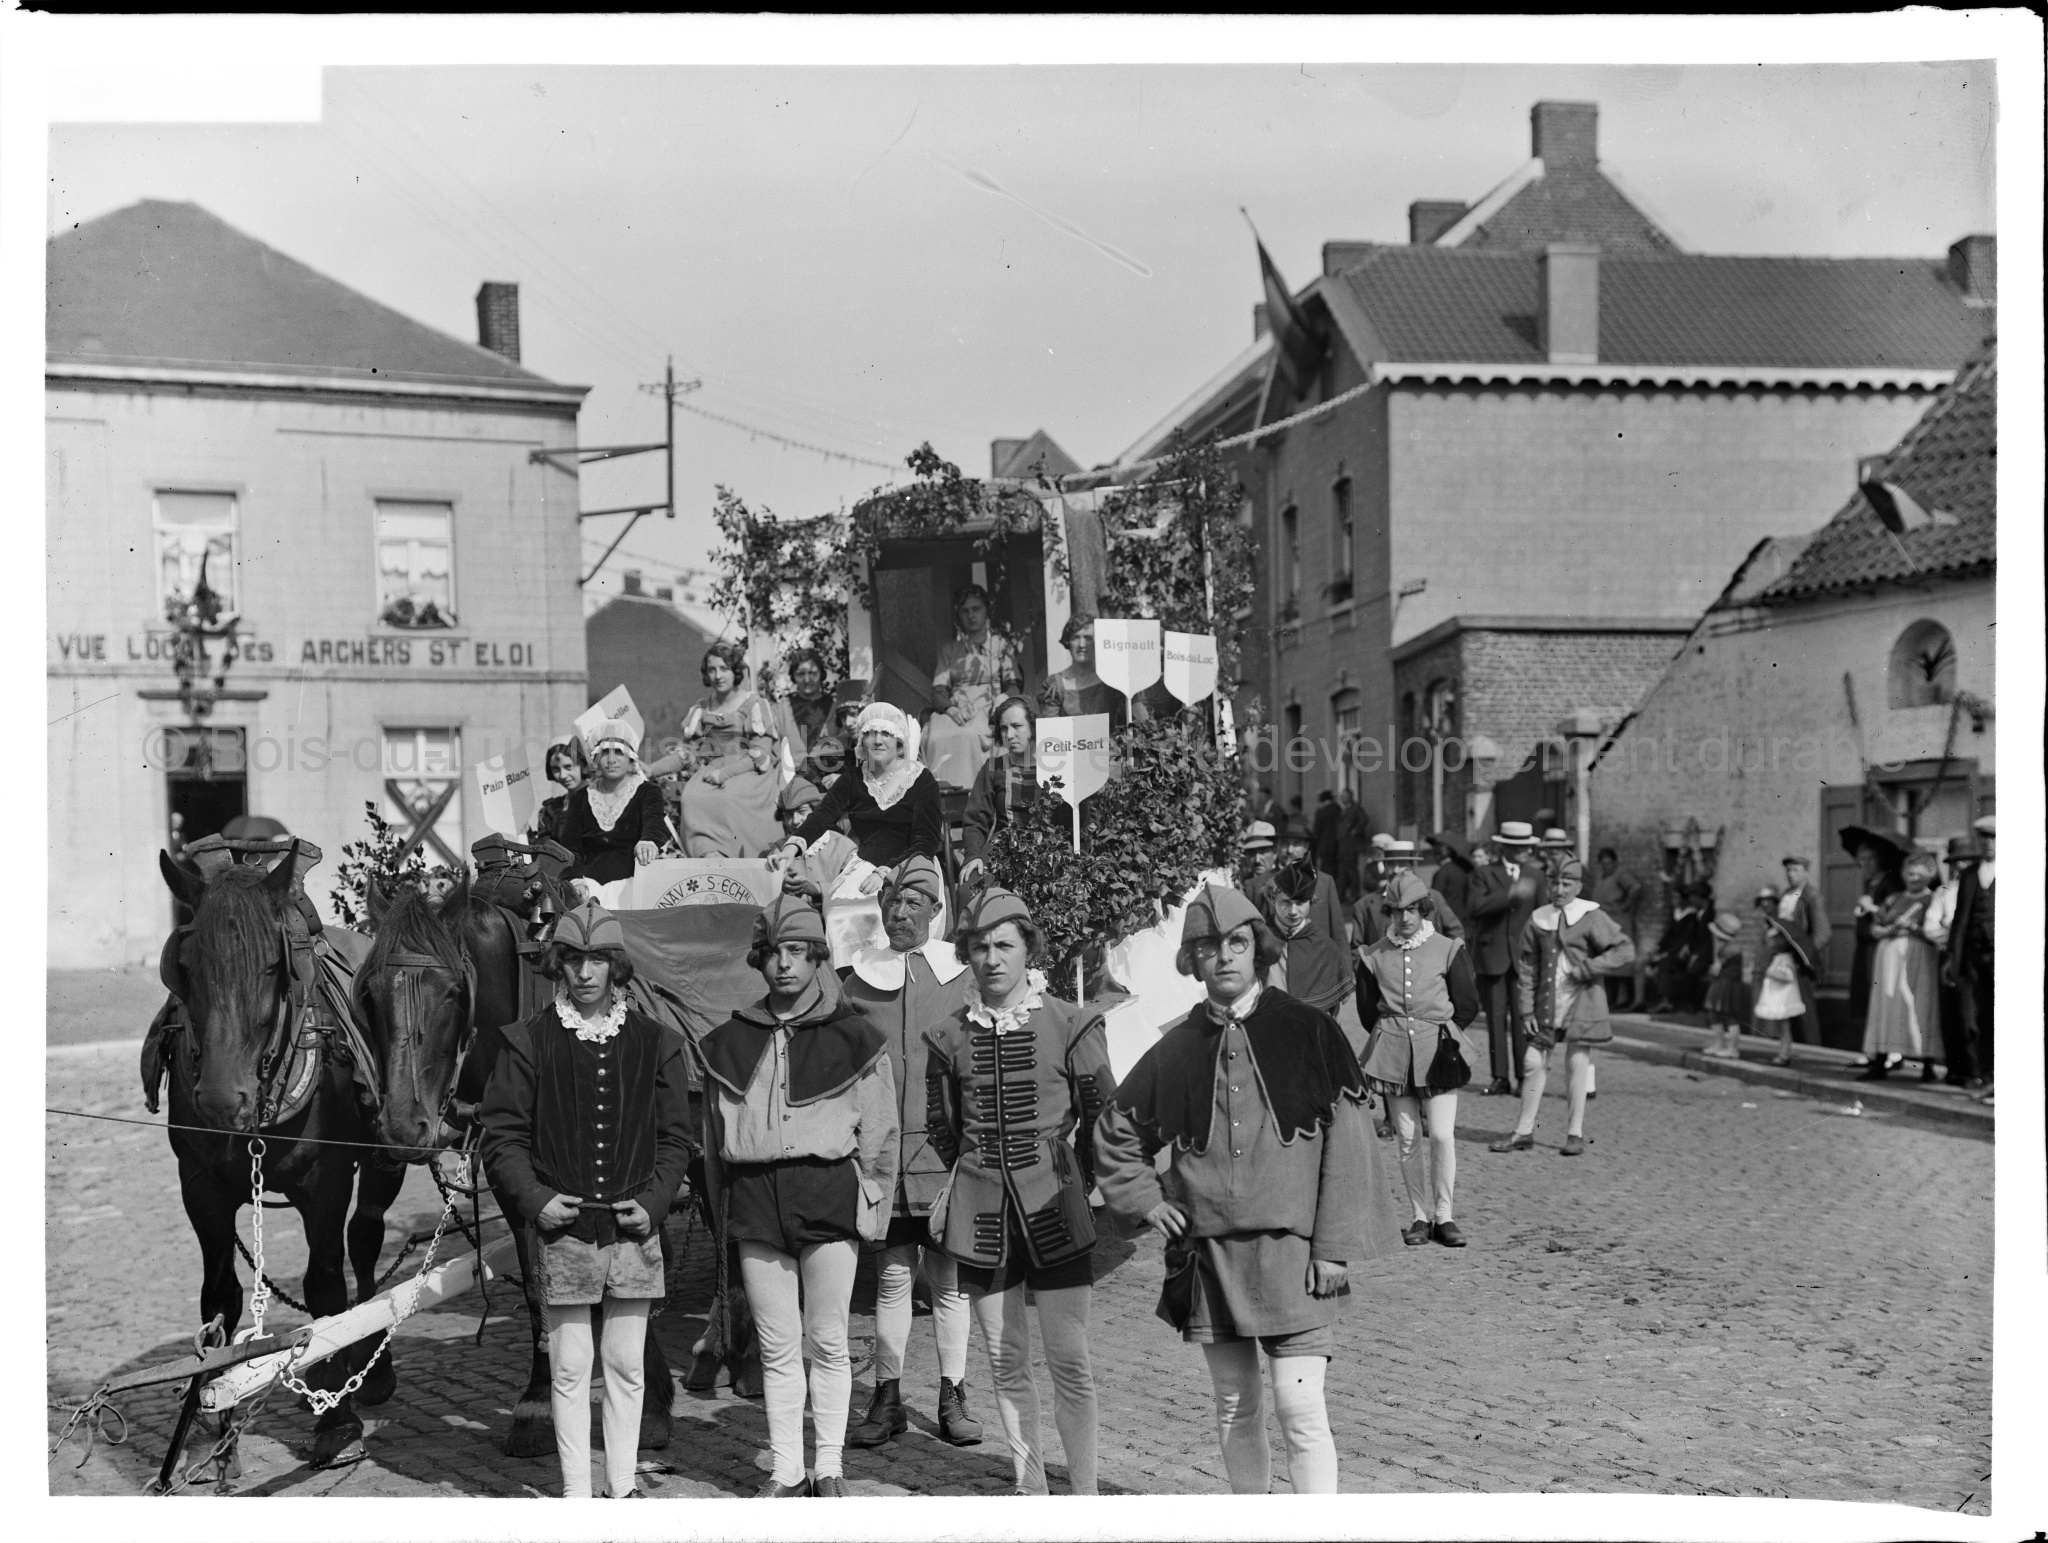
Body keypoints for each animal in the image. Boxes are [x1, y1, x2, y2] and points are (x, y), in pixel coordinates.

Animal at [154, 856, 407, 1467]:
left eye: (273, 968)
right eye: (185, 969)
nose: (223, 1100)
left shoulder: (326, 1182)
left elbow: (326, 1289)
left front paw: (339, 1420)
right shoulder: (199, 1185)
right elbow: (218, 1296)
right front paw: (213, 1426)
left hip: (387, 1155)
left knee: (366, 1242)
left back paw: (368, 1369)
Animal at [352, 872, 671, 1450]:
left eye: (454, 992)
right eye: (369, 993)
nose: (404, 1127)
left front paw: (652, 1405)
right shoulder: (523, 1183)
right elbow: (535, 1280)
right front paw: (538, 1402)